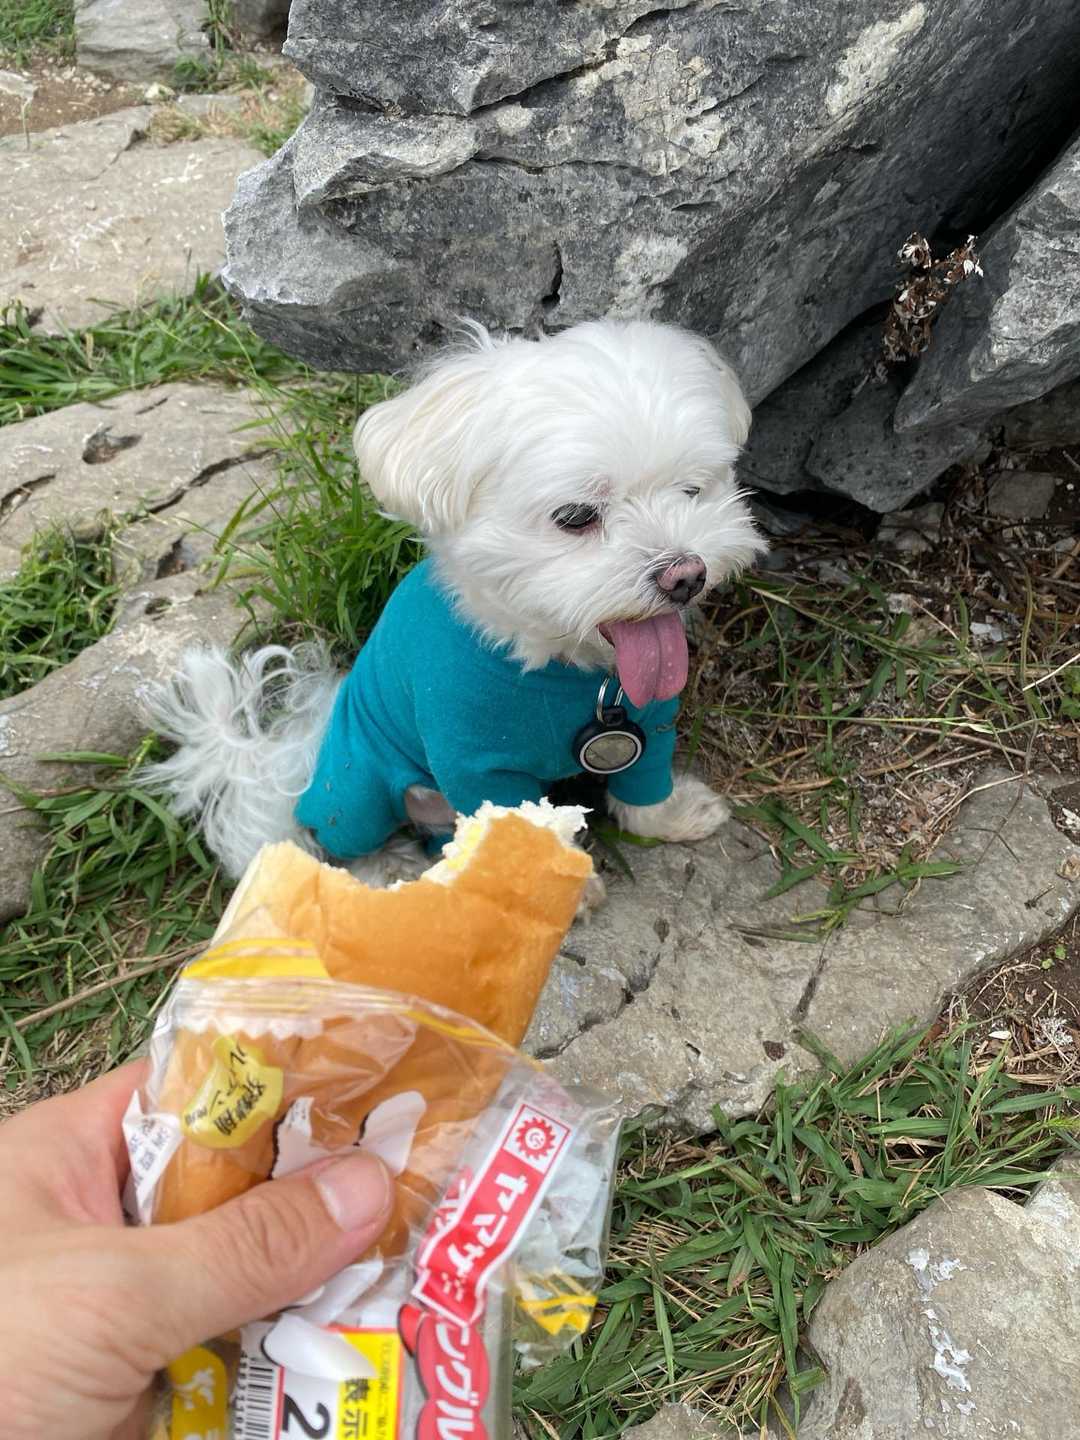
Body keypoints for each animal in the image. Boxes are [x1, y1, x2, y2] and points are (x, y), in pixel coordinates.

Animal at [143, 318, 766, 896]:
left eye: (692, 491)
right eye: (576, 516)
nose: (686, 575)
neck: (562, 671)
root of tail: (298, 758)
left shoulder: (651, 723)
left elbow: (643, 783)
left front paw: (670, 816)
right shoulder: (476, 764)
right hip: (358, 785)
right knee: (344, 845)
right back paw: (388, 872)